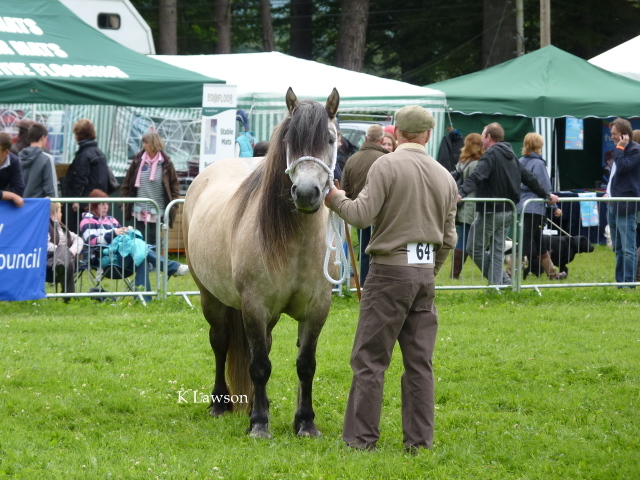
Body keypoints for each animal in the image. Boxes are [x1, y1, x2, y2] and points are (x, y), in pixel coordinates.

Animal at [182, 88, 340, 439]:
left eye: (331, 139)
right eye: (289, 140)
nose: (306, 193)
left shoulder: (317, 309)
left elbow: (305, 364)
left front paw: (305, 422)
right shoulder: (254, 306)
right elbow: (259, 365)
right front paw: (258, 423)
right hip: (210, 297)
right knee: (220, 342)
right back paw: (220, 403)